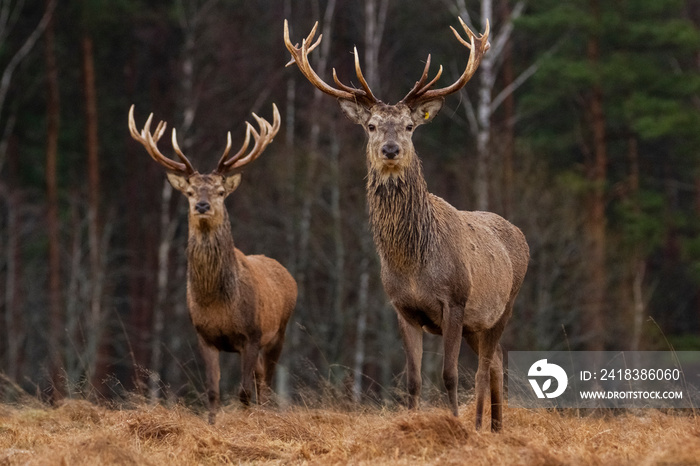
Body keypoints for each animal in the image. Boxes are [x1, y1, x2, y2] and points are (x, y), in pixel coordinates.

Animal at [127, 104, 296, 424]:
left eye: (220, 191)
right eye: (190, 191)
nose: (202, 206)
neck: (218, 303)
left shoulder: (251, 335)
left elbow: (243, 392)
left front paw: (246, 424)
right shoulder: (204, 337)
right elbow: (212, 390)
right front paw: (213, 425)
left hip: (278, 332)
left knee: (266, 385)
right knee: (260, 381)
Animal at [288, 18, 528, 432]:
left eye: (409, 127)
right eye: (371, 126)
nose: (390, 149)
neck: (413, 264)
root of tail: (522, 236)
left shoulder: (455, 301)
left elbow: (449, 374)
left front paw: (454, 424)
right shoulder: (402, 308)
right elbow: (413, 379)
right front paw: (412, 423)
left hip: (504, 305)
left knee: (487, 365)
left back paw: (483, 424)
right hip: (478, 324)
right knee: (495, 362)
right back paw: (495, 427)